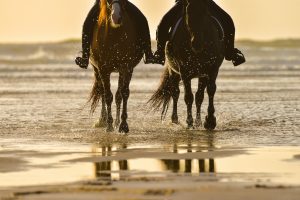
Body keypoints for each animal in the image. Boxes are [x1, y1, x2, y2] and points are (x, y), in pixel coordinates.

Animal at [88, 0, 145, 133]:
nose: (116, 17)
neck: (115, 36)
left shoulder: (127, 68)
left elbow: (124, 93)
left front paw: (123, 125)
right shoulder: (103, 69)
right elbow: (108, 95)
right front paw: (109, 125)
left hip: (120, 71)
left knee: (118, 94)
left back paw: (117, 121)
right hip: (96, 70)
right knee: (102, 91)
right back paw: (102, 120)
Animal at [149, 0, 224, 130]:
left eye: (205, 12)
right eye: (188, 13)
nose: (196, 43)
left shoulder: (212, 70)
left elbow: (210, 91)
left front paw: (209, 121)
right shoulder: (184, 71)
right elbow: (188, 96)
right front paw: (189, 122)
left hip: (201, 75)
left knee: (199, 96)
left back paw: (198, 122)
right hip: (174, 72)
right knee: (175, 93)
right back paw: (175, 119)